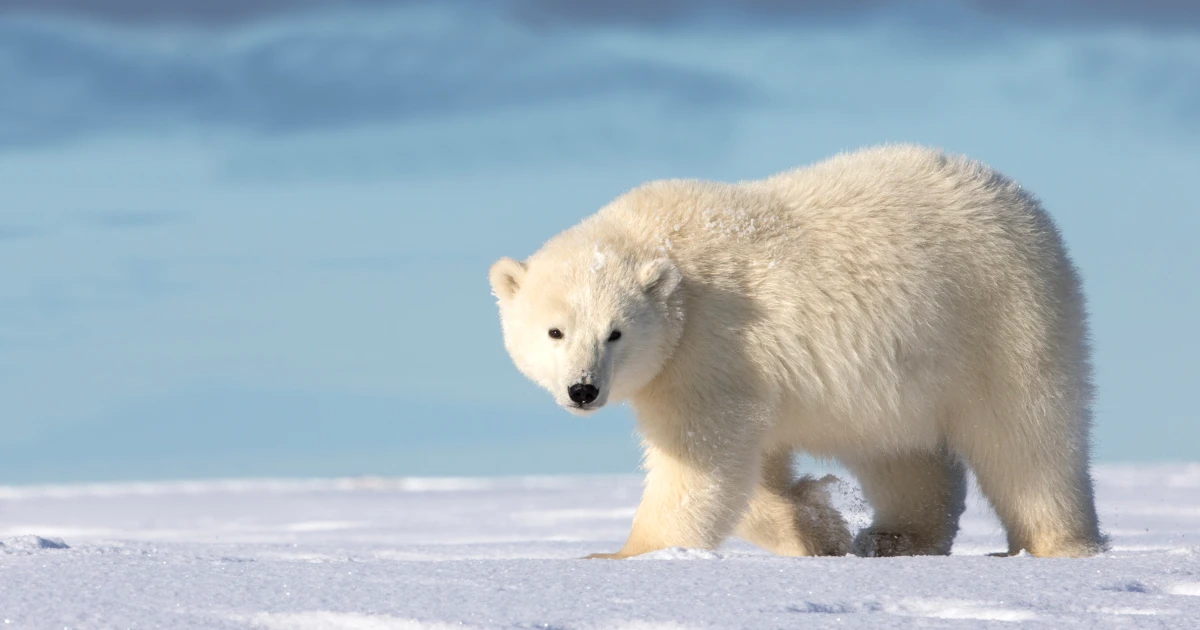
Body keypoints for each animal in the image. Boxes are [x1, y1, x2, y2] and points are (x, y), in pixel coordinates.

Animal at [489, 144, 1106, 559]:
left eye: (615, 331)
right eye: (555, 332)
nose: (583, 389)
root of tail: (1020, 202)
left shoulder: (710, 349)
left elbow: (702, 457)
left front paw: (625, 554)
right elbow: (754, 464)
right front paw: (814, 524)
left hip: (1000, 317)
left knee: (1026, 437)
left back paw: (1057, 541)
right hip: (902, 367)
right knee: (900, 449)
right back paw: (894, 536)